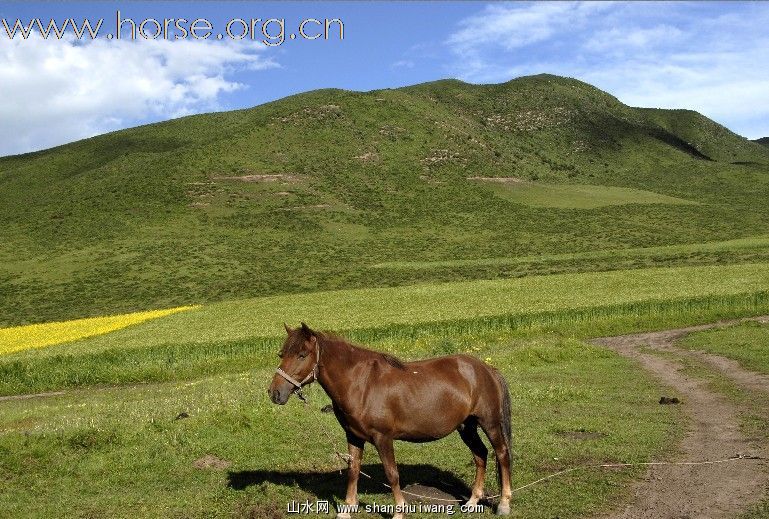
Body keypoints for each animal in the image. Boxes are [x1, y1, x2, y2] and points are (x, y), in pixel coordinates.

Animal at [268, 322, 512, 516]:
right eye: (281, 354)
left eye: (302, 355)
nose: (275, 393)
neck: (361, 384)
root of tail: (486, 368)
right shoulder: (353, 436)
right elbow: (353, 470)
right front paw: (347, 509)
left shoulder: (383, 438)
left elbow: (392, 474)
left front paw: (399, 512)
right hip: (466, 426)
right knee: (480, 455)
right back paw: (472, 502)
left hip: (489, 423)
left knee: (501, 454)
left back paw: (504, 504)